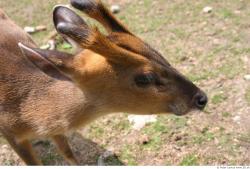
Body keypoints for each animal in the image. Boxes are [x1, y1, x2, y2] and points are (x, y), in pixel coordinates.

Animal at [0, 0, 207, 166]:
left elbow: (69, 153)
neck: (28, 111)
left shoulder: (55, 129)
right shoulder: (12, 134)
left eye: (160, 54)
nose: (201, 98)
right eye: (145, 78)